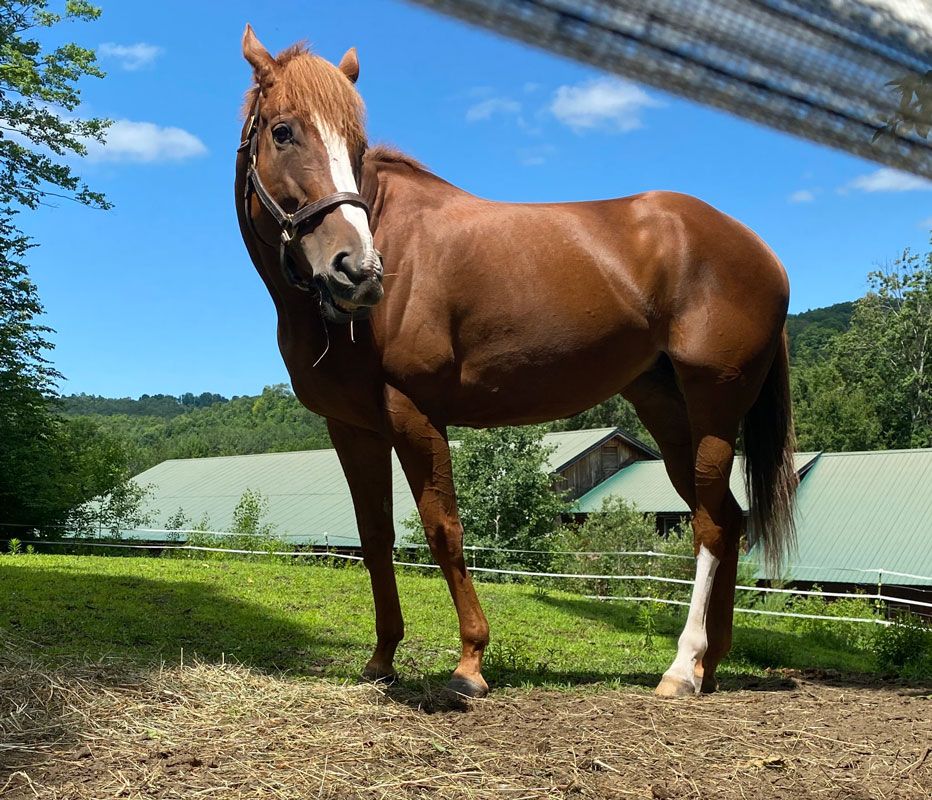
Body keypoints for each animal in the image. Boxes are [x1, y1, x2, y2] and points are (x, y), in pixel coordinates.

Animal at [234, 25, 797, 699]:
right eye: (283, 131)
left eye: (357, 144)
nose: (359, 271)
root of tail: (762, 252)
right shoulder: (352, 427)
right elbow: (375, 537)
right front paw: (382, 658)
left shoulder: (414, 410)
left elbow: (444, 528)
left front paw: (469, 663)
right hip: (666, 406)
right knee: (730, 521)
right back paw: (710, 665)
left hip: (715, 404)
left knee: (711, 524)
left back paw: (682, 668)